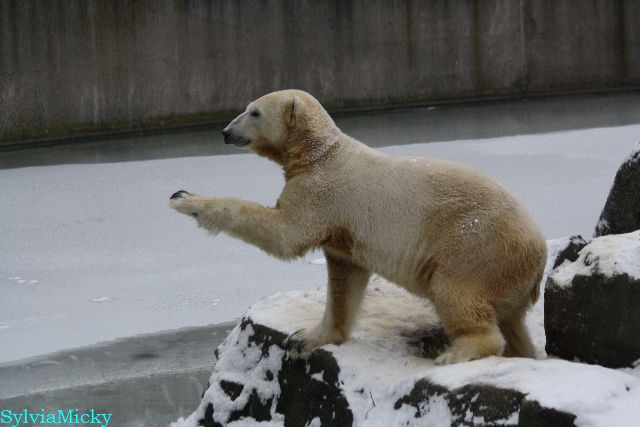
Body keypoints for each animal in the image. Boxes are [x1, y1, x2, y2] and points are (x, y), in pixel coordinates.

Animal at [170, 89, 547, 364]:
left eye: (254, 112)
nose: (225, 132)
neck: (320, 153)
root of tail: (539, 254)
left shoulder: (322, 193)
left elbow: (284, 233)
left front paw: (184, 198)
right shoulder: (344, 231)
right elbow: (344, 280)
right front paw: (306, 338)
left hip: (475, 247)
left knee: (457, 293)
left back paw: (456, 352)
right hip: (504, 276)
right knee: (512, 323)